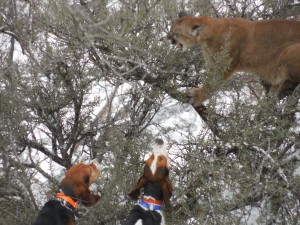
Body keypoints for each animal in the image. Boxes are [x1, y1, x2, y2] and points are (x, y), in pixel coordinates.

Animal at [168, 13, 300, 105]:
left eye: (176, 34)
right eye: (171, 29)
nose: (167, 38)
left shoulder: (225, 65)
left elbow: (213, 82)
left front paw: (197, 96)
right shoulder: (213, 63)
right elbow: (210, 79)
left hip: (288, 52)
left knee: (293, 81)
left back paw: (279, 89)